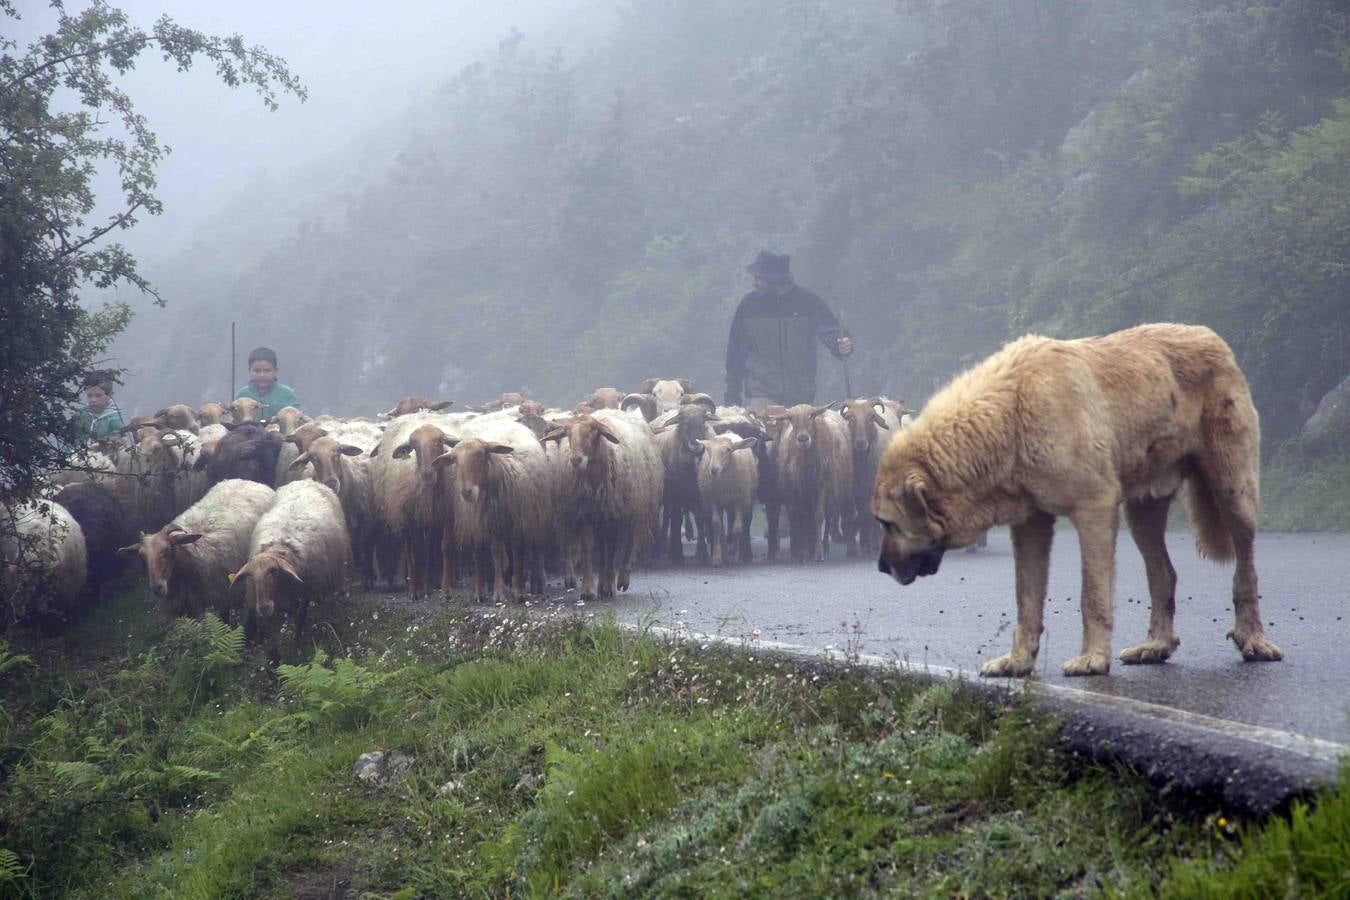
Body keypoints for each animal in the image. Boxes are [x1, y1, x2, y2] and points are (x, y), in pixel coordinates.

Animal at [869, 323, 1279, 674]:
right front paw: (1017, 663)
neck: (1011, 418)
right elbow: (1026, 599)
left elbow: (1092, 595)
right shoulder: (1031, 525)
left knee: (1246, 570)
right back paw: (1155, 646)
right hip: (1141, 516)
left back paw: (1254, 640)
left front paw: (1092, 659)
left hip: (1233, 494)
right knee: (1165, 574)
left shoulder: (1094, 509)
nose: (880, 568)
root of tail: (1212, 337)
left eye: (887, 523)